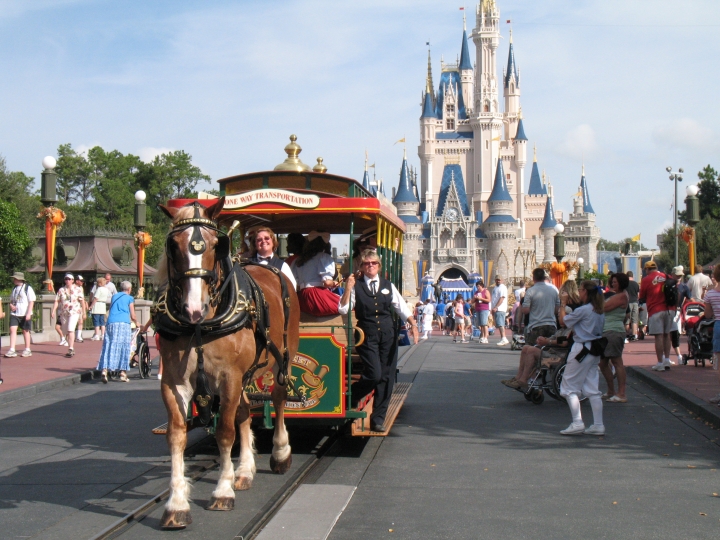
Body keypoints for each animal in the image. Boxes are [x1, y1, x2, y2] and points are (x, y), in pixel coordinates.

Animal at [153, 197, 300, 528]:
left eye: (213, 244)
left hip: (281, 358)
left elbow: (224, 432)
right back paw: (244, 471)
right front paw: (176, 504)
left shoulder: (229, 377)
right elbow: (176, 435)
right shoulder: (173, 382)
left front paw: (222, 491)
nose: (193, 308)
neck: (199, 326)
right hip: (245, 374)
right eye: (173, 245)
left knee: (278, 397)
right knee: (244, 411)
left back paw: (281, 453)